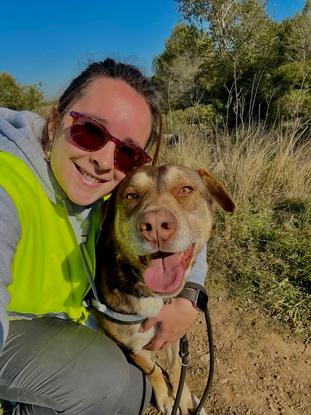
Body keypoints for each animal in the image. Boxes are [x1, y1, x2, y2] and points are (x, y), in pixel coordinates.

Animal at [95, 166, 236, 415]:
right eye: (131, 195)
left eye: (185, 189)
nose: (155, 225)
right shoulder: (134, 346)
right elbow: (152, 369)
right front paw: (164, 396)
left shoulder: (172, 332)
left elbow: (177, 368)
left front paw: (186, 399)